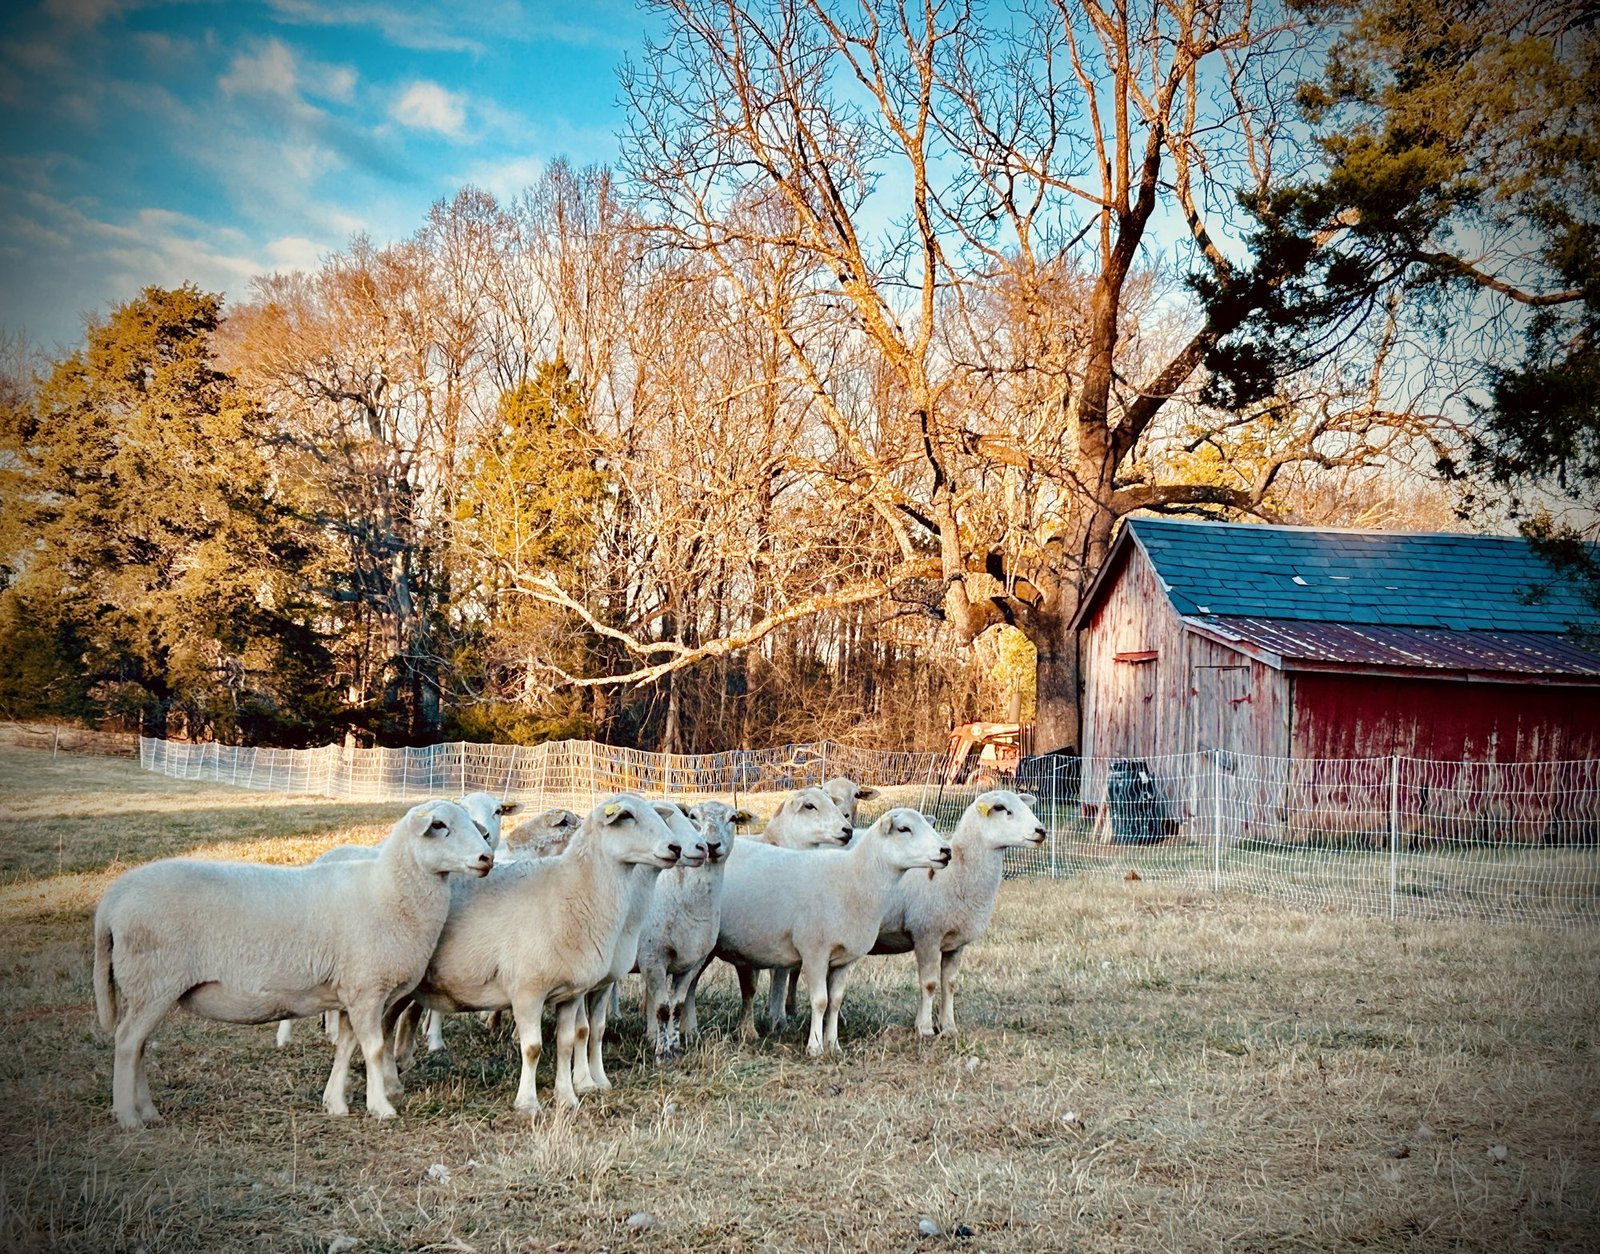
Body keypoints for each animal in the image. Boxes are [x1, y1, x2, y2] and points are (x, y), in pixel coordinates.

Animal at [92, 799, 495, 1130]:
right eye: (439, 825)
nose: (486, 858)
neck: (389, 890)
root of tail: (113, 898)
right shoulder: (367, 988)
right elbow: (374, 1049)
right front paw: (380, 1107)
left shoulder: (348, 993)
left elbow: (346, 1046)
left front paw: (335, 1103)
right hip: (152, 981)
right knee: (127, 1043)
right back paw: (129, 1117)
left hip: (147, 988)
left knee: (138, 1045)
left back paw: (148, 1111)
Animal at [391, 793, 685, 1118]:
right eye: (627, 816)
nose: (676, 848)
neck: (573, 891)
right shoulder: (527, 991)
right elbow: (533, 1048)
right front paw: (528, 1103)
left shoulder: (572, 992)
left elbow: (569, 1041)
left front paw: (568, 1097)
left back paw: (397, 1070)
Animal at [632, 800, 747, 1060]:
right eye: (693, 816)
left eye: (733, 818)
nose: (710, 845)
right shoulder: (653, 957)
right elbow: (662, 1008)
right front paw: (662, 1054)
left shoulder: (693, 961)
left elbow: (677, 1006)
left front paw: (674, 1048)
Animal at [706, 808, 951, 1055]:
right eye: (903, 829)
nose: (946, 851)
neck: (855, 879)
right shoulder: (814, 952)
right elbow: (820, 1000)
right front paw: (815, 1046)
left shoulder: (843, 960)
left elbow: (835, 1001)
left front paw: (833, 1044)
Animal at [871, 789, 1045, 1037]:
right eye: (1001, 808)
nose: (1041, 831)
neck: (955, 872)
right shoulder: (926, 934)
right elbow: (929, 983)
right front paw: (925, 1029)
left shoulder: (956, 943)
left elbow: (950, 984)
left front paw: (949, 1027)